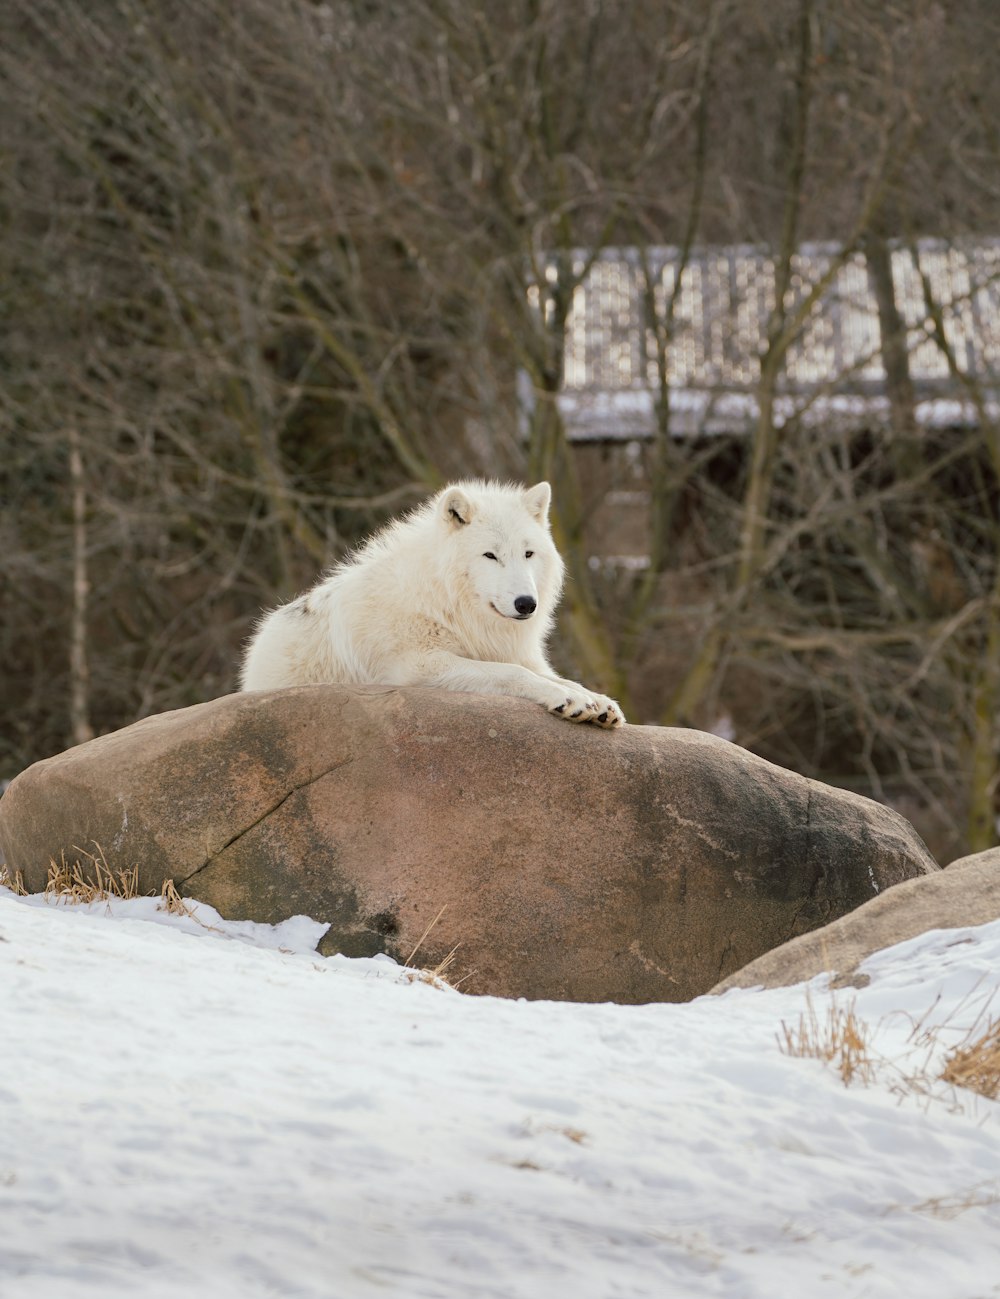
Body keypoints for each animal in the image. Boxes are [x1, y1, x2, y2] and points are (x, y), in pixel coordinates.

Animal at [236, 483, 618, 732]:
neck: (447, 603)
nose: (526, 604)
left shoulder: (510, 651)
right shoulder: (418, 666)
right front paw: (566, 698)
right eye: (490, 555)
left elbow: (556, 675)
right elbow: (513, 673)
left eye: (528, 553)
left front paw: (595, 700)